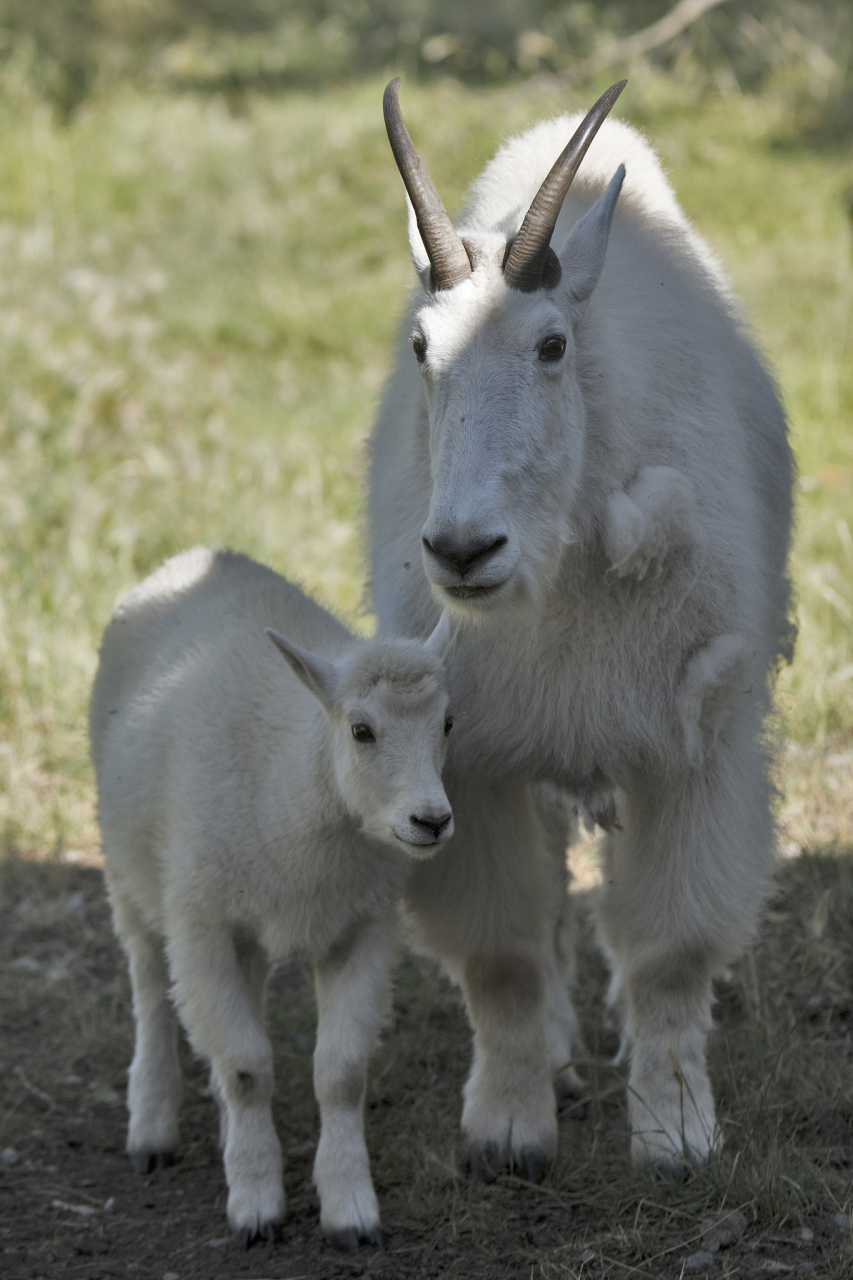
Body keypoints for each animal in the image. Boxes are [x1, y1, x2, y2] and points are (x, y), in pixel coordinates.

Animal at [87, 550, 450, 1249]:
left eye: (447, 723)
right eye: (361, 730)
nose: (433, 821)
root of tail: (195, 555)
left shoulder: (364, 927)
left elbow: (340, 1073)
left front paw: (349, 1207)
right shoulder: (199, 925)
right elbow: (249, 1068)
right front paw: (256, 1206)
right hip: (131, 870)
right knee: (150, 986)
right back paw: (151, 1126)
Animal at [368, 80, 794, 1172]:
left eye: (552, 345)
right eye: (421, 347)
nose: (462, 549)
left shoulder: (694, 745)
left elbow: (671, 951)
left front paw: (674, 1130)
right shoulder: (469, 760)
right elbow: (503, 953)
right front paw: (509, 1128)